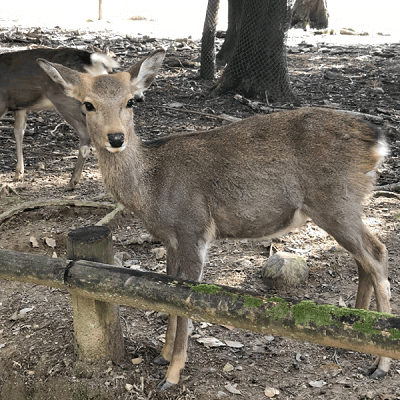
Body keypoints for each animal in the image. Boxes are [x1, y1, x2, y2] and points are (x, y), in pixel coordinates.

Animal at [38, 48, 390, 390]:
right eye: (88, 104)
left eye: (130, 101)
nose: (115, 138)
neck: (152, 190)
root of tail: (378, 141)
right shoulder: (171, 239)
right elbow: (166, 291)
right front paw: (163, 355)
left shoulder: (193, 228)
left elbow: (185, 300)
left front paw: (172, 375)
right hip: (345, 206)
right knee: (363, 258)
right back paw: (356, 335)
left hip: (335, 201)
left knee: (376, 253)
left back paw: (381, 364)